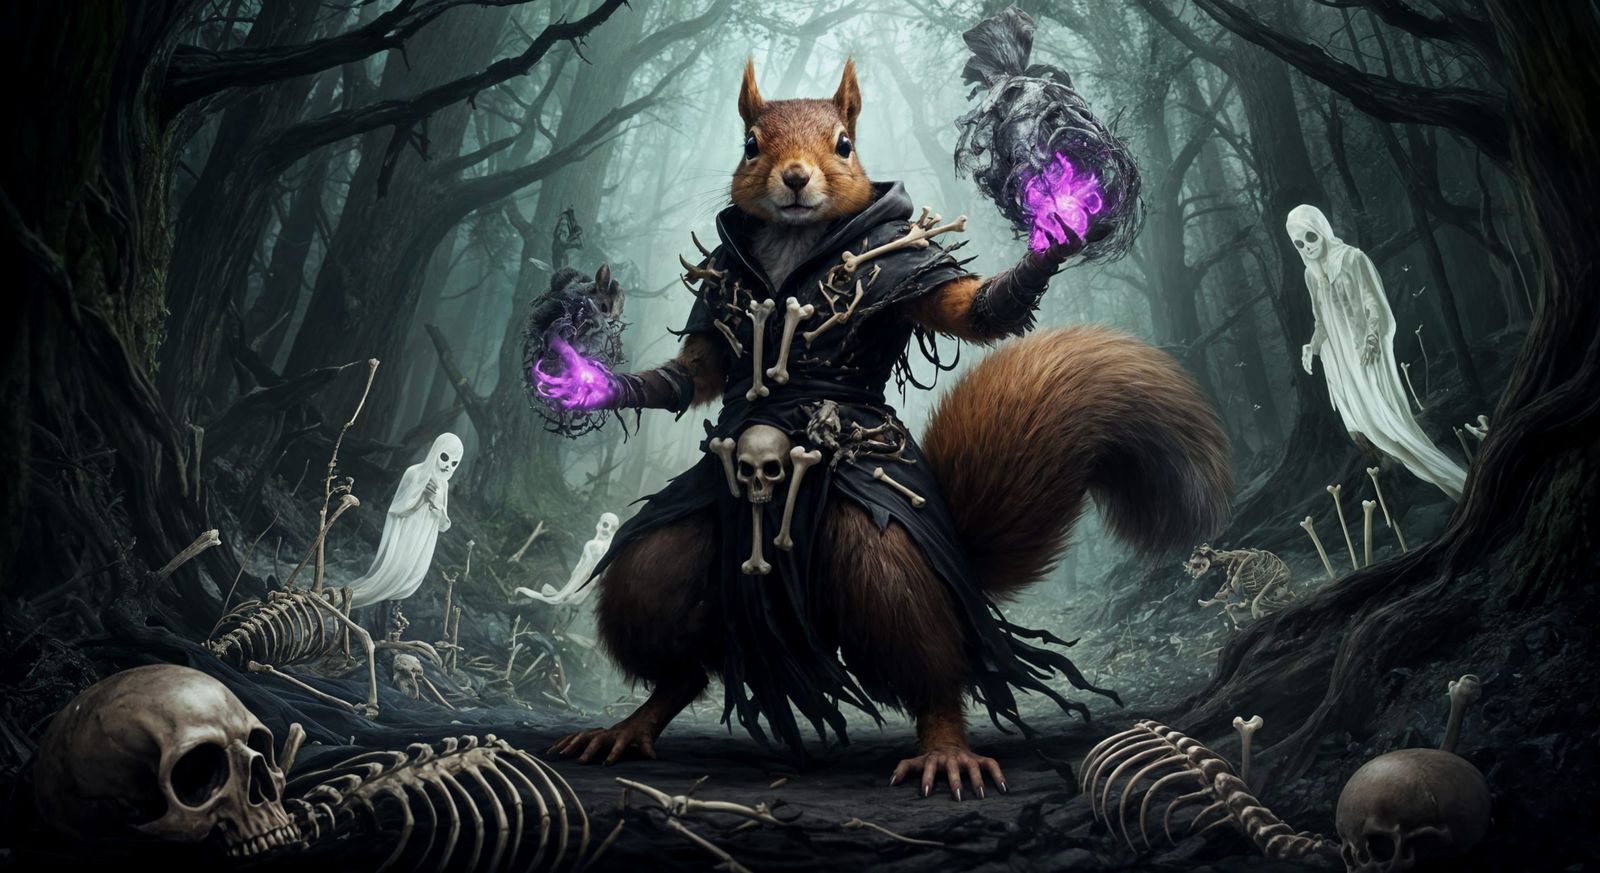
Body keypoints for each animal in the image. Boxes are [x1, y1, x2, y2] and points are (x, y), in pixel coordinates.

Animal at [548, 59, 1232, 800]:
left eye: (843, 145)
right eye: (751, 146)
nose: (795, 178)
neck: (794, 243)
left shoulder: (907, 265)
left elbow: (965, 307)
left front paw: (1054, 235)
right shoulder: (719, 289)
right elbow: (695, 369)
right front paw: (592, 383)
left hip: (882, 547)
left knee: (918, 637)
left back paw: (946, 746)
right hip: (692, 540)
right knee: (660, 604)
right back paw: (635, 721)